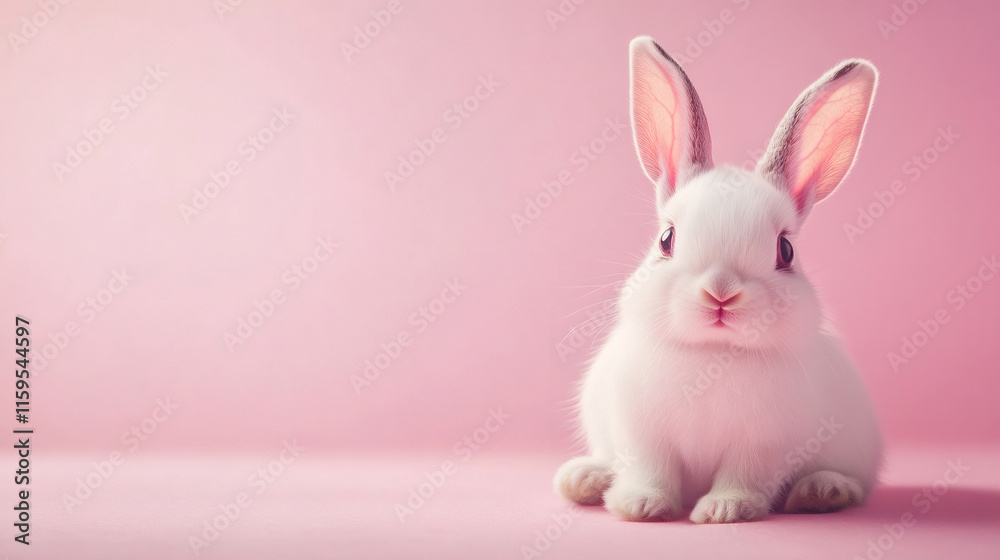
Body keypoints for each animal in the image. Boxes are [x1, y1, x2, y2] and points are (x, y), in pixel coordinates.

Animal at [554, 36, 882, 523]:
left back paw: (822, 490)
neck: (713, 355)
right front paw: (641, 505)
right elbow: (650, 469)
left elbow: (743, 476)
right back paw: (583, 479)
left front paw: (725, 510)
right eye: (666, 239)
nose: (722, 293)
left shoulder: (763, 445)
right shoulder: (640, 433)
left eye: (785, 251)